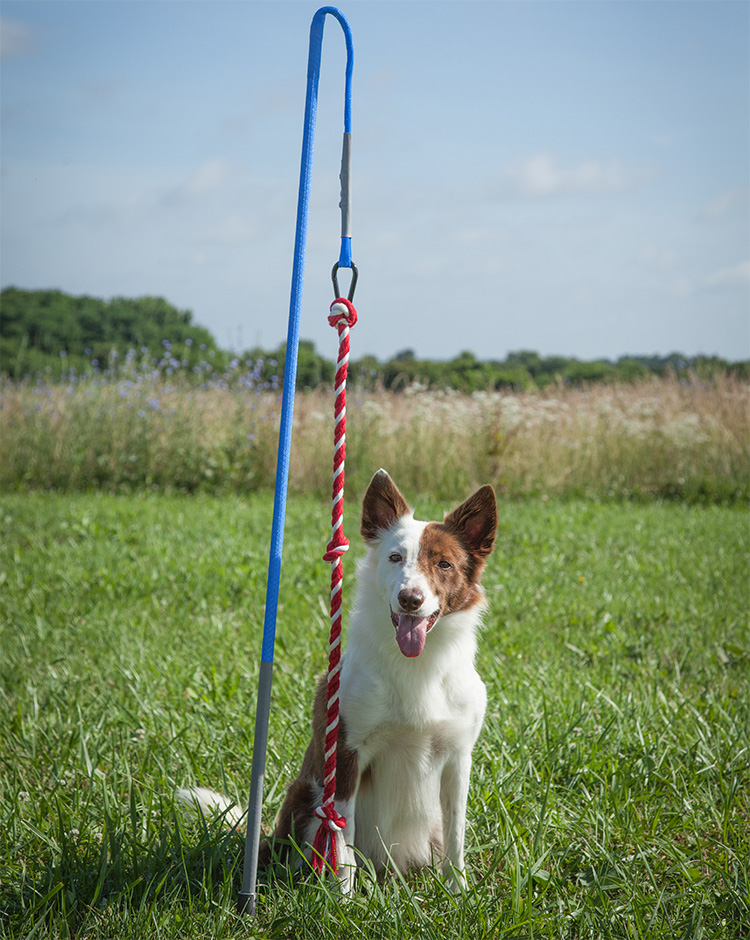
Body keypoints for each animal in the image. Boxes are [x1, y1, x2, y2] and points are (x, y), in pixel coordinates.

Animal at [183, 474, 500, 892]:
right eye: (395, 558)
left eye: (444, 564)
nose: (410, 599)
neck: (417, 666)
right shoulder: (347, 754)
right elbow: (340, 836)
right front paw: (343, 898)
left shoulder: (458, 759)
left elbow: (456, 833)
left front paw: (458, 892)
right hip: (305, 797)